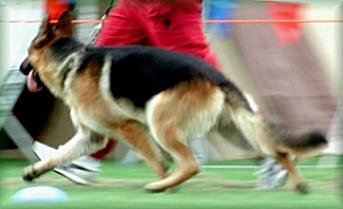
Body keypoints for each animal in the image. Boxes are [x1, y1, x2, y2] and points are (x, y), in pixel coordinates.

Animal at [20, 12, 330, 193]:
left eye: (28, 51)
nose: (22, 68)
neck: (71, 61)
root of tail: (219, 77)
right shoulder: (91, 137)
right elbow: (60, 155)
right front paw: (35, 171)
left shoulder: (129, 127)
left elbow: (155, 160)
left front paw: (164, 183)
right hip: (236, 132)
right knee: (280, 151)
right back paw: (296, 182)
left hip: (159, 120)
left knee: (191, 165)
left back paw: (161, 186)